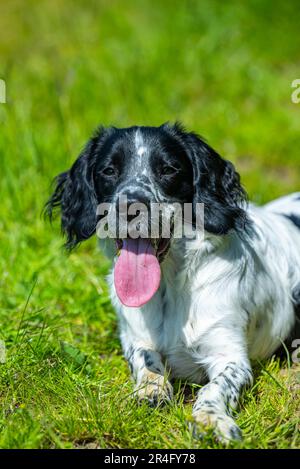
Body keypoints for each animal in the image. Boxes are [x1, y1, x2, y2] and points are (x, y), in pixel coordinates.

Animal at [45, 122, 300, 440]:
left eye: (168, 169)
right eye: (109, 170)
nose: (130, 206)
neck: (169, 287)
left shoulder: (231, 355)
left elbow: (213, 388)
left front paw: (210, 419)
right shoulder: (134, 336)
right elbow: (145, 360)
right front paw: (151, 391)